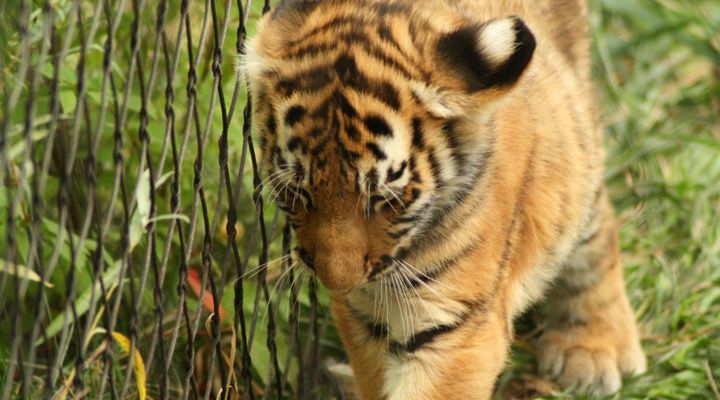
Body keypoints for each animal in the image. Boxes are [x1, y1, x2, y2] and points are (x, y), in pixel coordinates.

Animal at [241, 0, 647, 398]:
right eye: (296, 191)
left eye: (386, 199)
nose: (339, 284)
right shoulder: (364, 317)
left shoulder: (456, 321)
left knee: (595, 237)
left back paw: (593, 349)